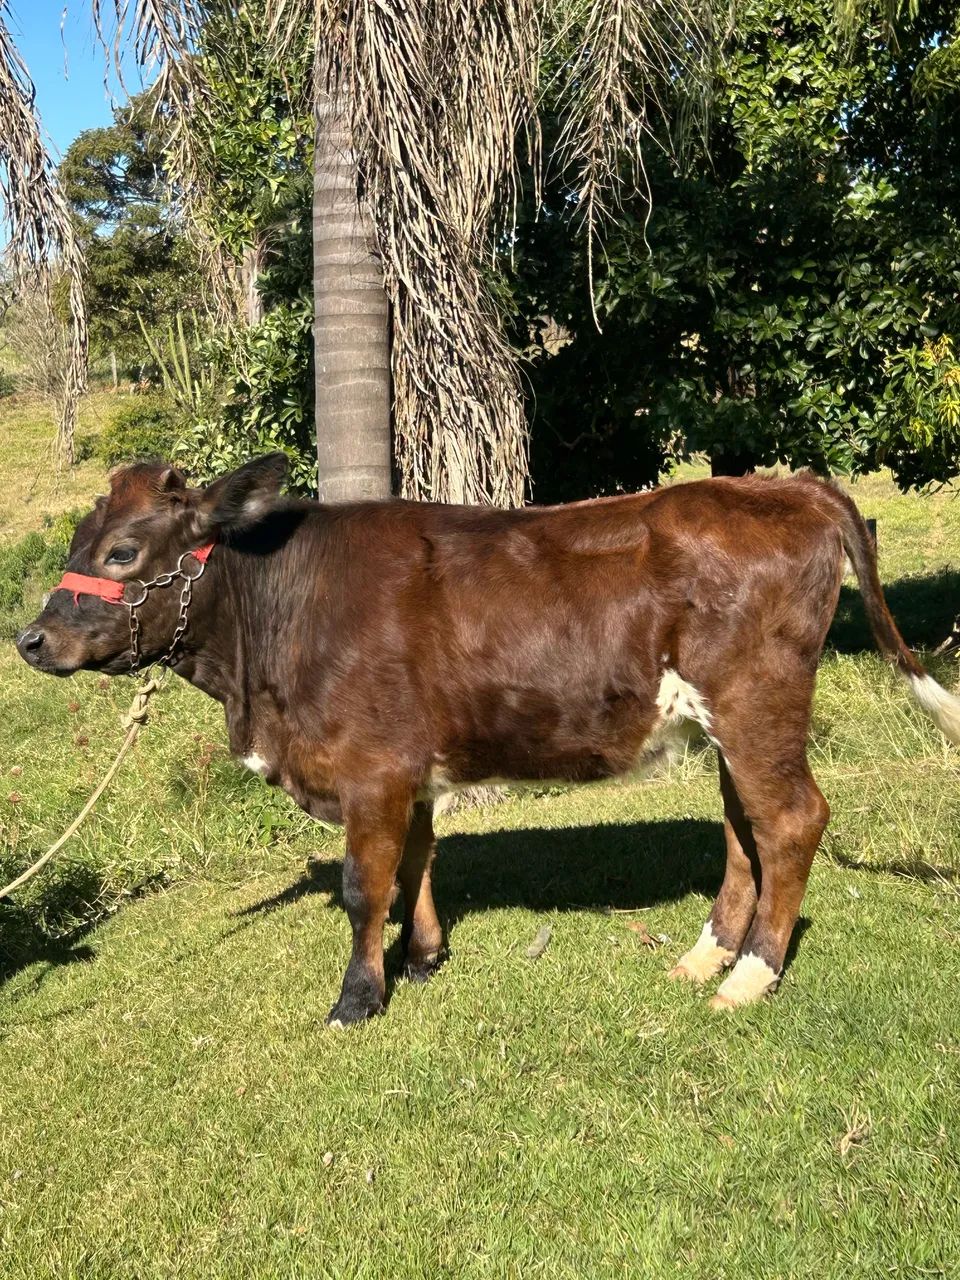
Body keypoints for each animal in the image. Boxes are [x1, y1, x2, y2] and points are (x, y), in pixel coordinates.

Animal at [15, 455, 960, 1024]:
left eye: (124, 550)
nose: (30, 639)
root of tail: (784, 485)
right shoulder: (408, 769)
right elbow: (416, 864)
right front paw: (424, 958)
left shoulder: (370, 769)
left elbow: (365, 887)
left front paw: (358, 997)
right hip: (721, 719)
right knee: (742, 828)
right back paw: (705, 956)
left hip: (757, 704)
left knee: (792, 820)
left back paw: (750, 975)